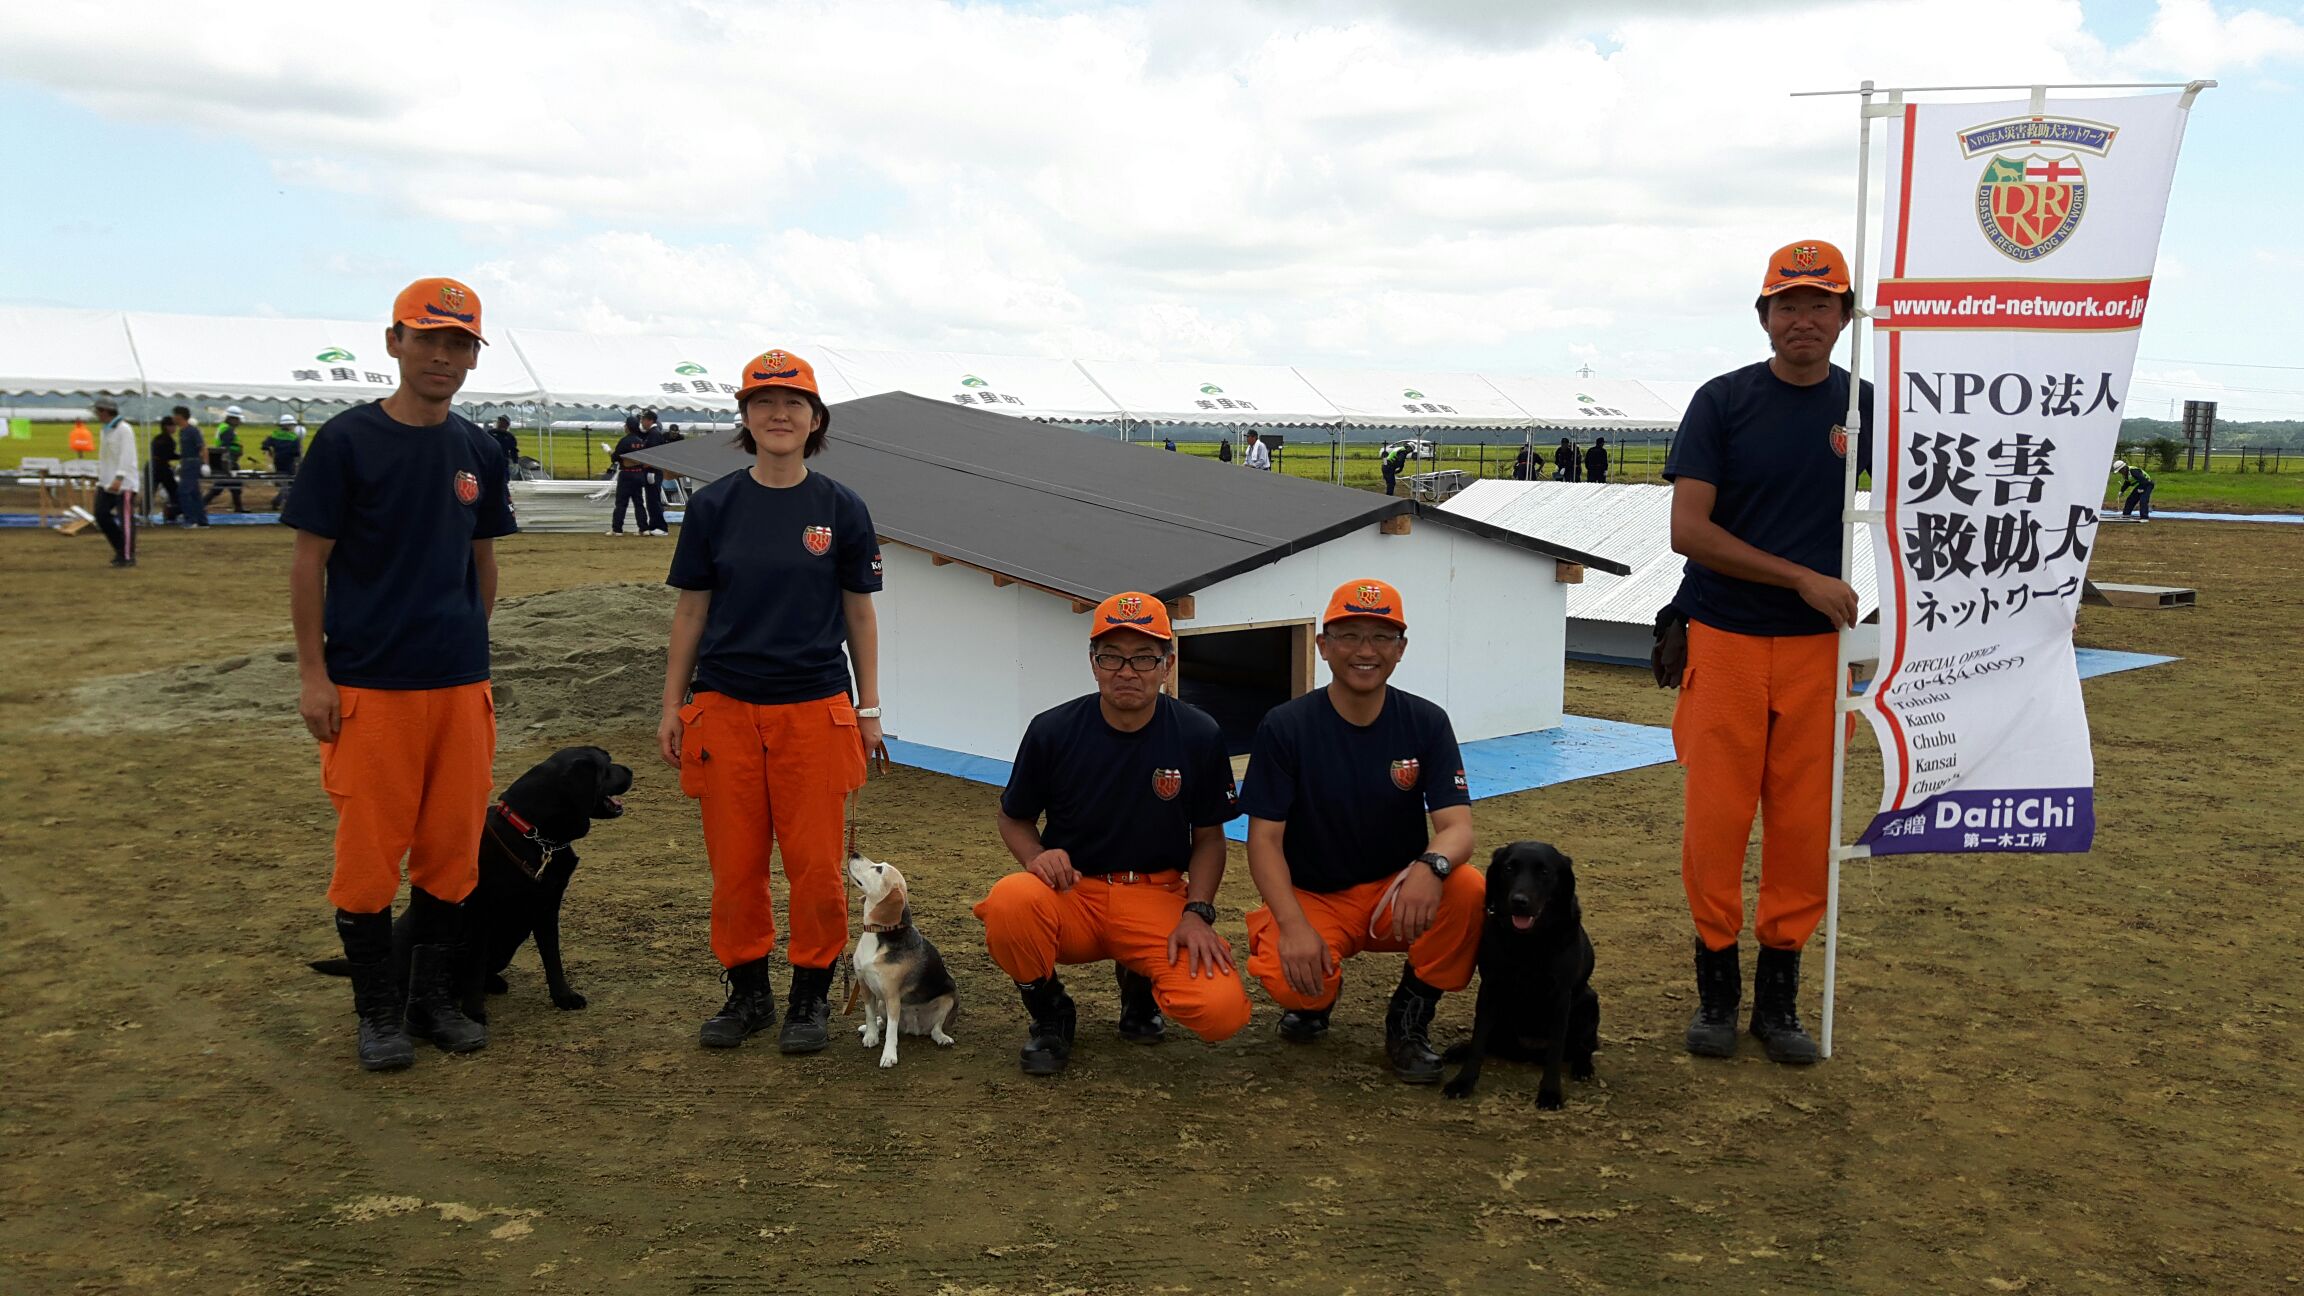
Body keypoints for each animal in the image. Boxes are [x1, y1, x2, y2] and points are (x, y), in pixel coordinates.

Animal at [311, 746, 634, 1024]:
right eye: (606, 767)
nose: (630, 770)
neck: (533, 835)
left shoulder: (546, 909)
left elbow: (553, 958)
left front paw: (563, 997)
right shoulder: (481, 916)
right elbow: (475, 969)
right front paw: (474, 1013)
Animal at [842, 855, 958, 1068]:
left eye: (879, 869)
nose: (854, 854)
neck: (879, 933)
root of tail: (914, 1028)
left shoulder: (892, 996)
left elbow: (891, 1033)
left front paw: (888, 1056)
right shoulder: (865, 986)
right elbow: (870, 1015)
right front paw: (871, 1036)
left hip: (949, 998)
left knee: (935, 1029)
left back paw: (942, 1038)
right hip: (881, 1002)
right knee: (884, 1021)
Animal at [1442, 841, 1600, 1109]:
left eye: (1544, 872)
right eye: (1508, 868)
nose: (1519, 901)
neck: (1527, 943)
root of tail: (1526, 1050)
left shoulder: (1561, 996)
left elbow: (1555, 1051)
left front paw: (1550, 1093)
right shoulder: (1490, 987)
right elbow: (1478, 1040)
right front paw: (1463, 1081)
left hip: (1589, 1002)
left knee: (1583, 1047)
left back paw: (1582, 1067)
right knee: (1488, 1041)